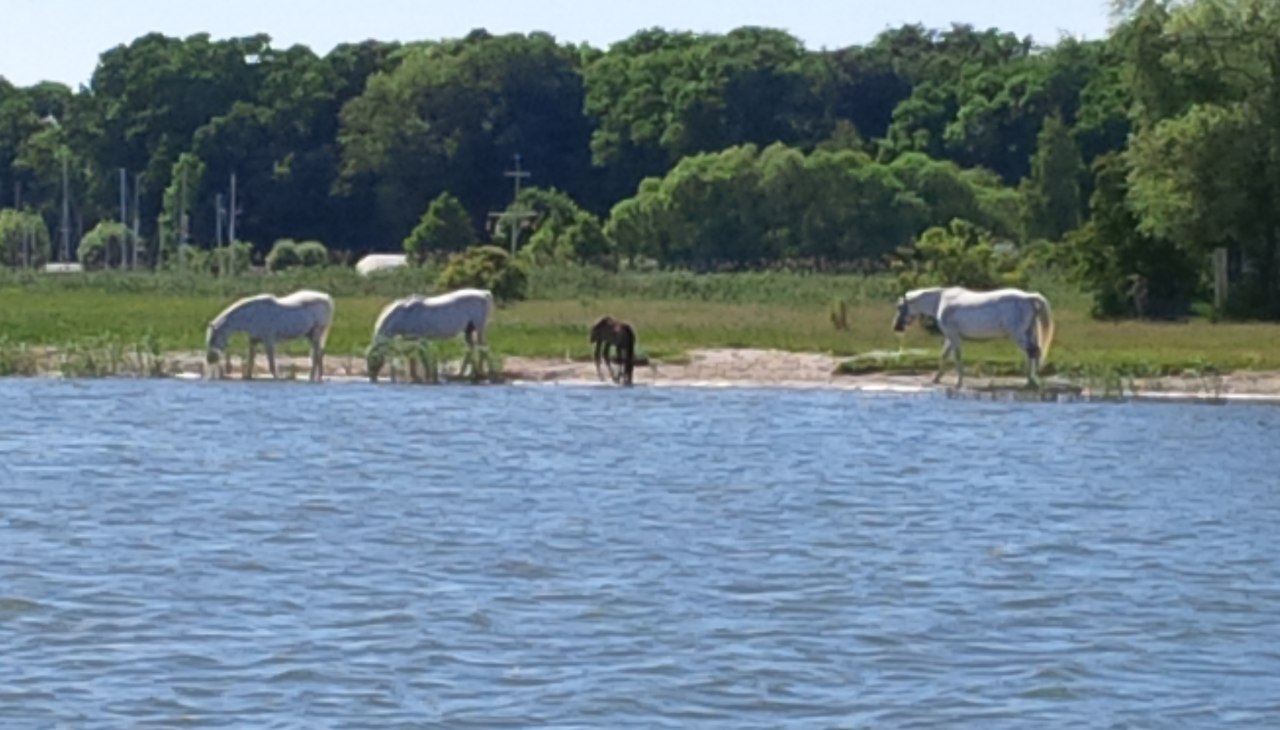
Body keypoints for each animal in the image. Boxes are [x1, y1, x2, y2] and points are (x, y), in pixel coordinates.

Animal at [205, 289, 334, 382]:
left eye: (213, 338)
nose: (210, 359)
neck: (252, 314)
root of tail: (326, 298)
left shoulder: (269, 341)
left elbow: (271, 363)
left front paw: (277, 378)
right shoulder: (253, 341)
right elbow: (251, 362)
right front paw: (248, 377)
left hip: (317, 333)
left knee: (316, 355)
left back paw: (312, 378)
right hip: (310, 335)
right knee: (318, 355)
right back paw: (318, 377)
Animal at [892, 286, 1055, 388]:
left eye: (900, 307)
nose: (896, 327)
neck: (941, 300)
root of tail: (1028, 297)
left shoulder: (953, 336)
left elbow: (957, 357)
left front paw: (958, 383)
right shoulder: (950, 337)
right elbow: (944, 356)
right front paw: (936, 379)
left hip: (1018, 335)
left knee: (1033, 352)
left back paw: (1033, 382)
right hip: (1028, 333)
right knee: (1031, 353)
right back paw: (1030, 381)